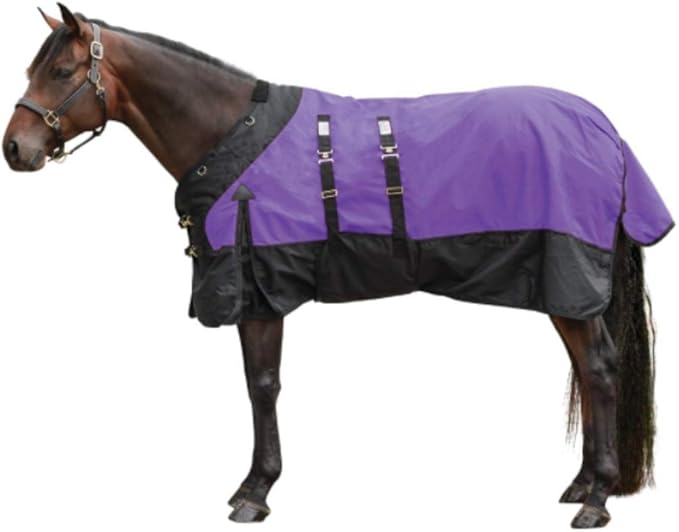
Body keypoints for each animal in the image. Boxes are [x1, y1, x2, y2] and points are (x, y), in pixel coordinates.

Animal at [3, 4, 674, 528]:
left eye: (61, 72)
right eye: (33, 70)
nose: (15, 148)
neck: (230, 134)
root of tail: (604, 130)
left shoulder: (260, 288)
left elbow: (262, 384)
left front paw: (255, 490)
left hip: (569, 278)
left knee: (600, 368)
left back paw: (597, 499)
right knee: (588, 370)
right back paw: (582, 484)